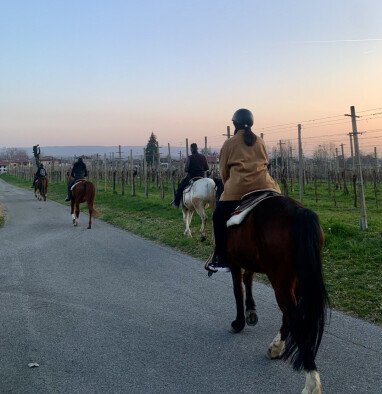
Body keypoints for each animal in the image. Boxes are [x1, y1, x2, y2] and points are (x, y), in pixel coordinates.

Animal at [219, 190, 326, 390]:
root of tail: (299, 212)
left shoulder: (234, 262)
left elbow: (238, 290)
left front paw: (239, 322)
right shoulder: (250, 262)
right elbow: (247, 280)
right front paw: (251, 311)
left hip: (280, 280)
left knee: (293, 317)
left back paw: (312, 382)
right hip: (291, 280)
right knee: (289, 314)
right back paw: (276, 348)